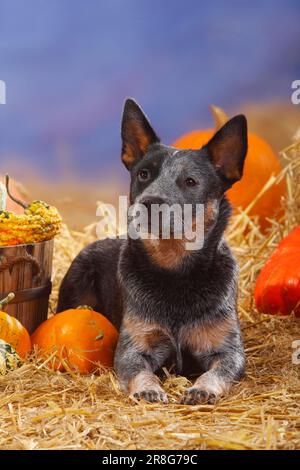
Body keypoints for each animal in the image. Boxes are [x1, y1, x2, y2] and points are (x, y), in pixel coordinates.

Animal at [57, 98, 247, 404]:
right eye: (143, 174)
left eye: (190, 181)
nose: (149, 202)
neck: (175, 273)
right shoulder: (133, 347)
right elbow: (139, 370)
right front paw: (149, 388)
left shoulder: (229, 349)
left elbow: (219, 371)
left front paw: (202, 389)